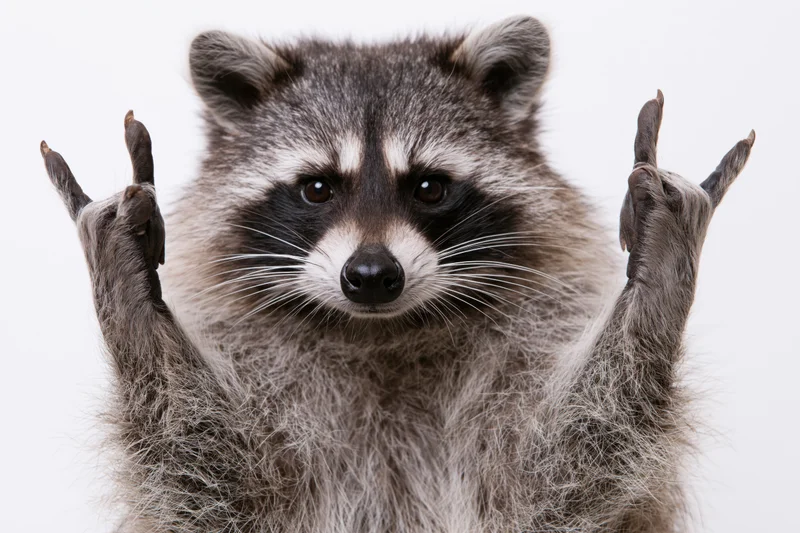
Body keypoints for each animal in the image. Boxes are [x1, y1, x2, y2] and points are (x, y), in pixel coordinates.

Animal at [40, 15, 755, 533]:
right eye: (318, 188)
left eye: (430, 187)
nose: (371, 274)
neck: (380, 333)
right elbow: (212, 480)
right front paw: (134, 294)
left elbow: (564, 479)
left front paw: (655, 278)